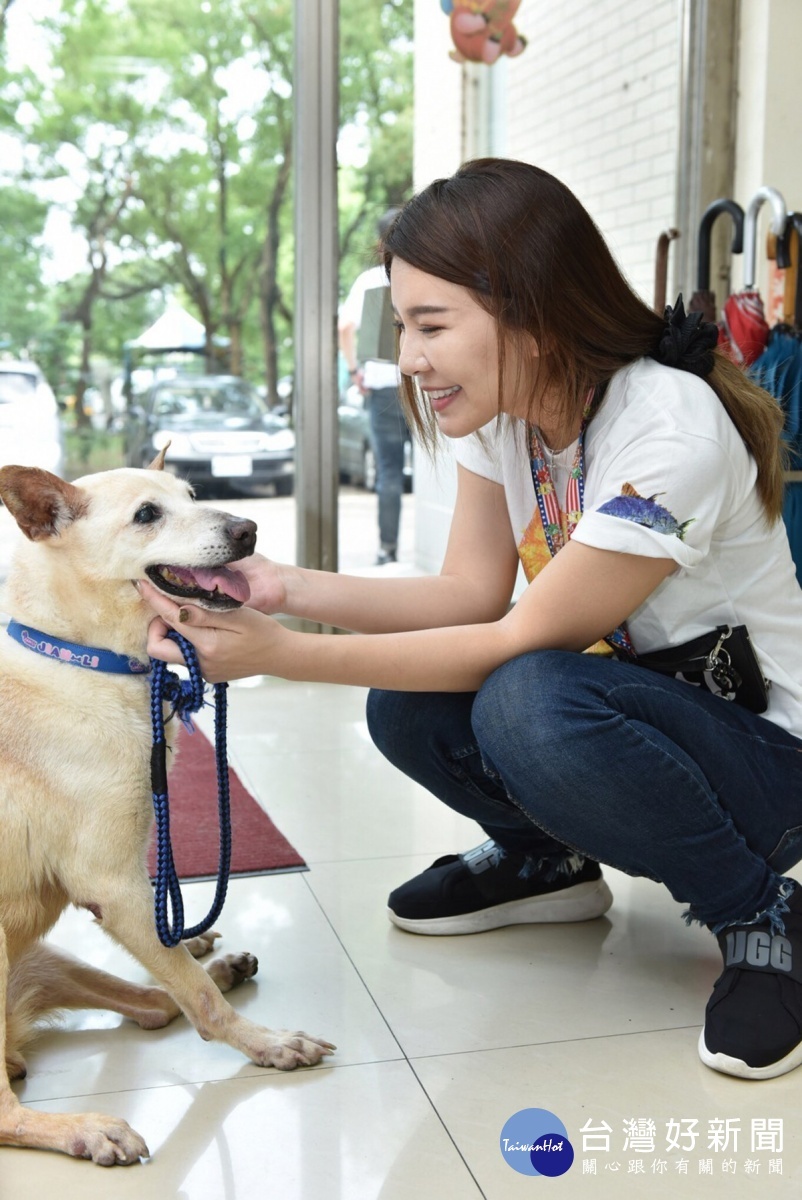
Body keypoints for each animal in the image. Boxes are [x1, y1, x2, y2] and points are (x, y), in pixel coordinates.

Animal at [0, 458, 333, 1161]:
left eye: (192, 495)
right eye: (147, 515)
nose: (249, 528)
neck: (79, 656)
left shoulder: (130, 890)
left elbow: (177, 971)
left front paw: (201, 954)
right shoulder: (113, 887)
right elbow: (199, 999)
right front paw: (265, 1044)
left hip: (42, 955)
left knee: (155, 998)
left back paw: (212, 955)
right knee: (5, 1107)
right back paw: (84, 1128)